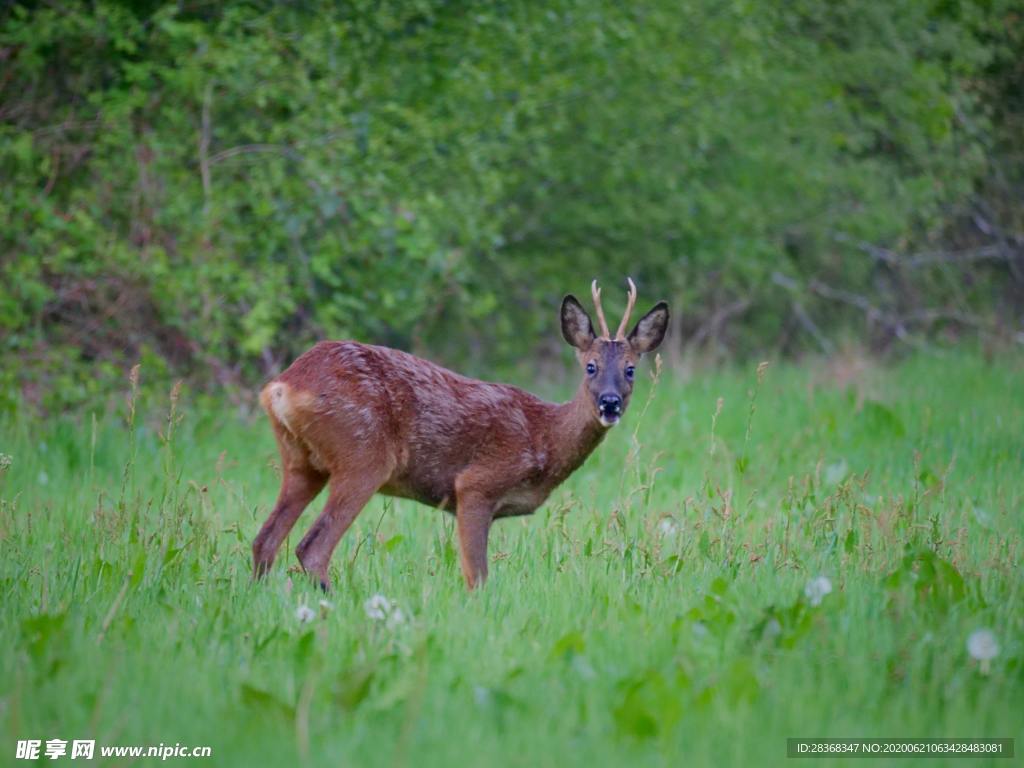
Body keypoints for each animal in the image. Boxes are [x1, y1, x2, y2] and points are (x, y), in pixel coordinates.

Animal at [253, 280, 671, 593]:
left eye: (630, 369)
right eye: (590, 366)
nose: (609, 403)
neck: (544, 437)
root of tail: (281, 386)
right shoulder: (476, 485)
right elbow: (478, 578)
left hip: (302, 462)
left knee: (265, 540)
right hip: (363, 454)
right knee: (312, 547)